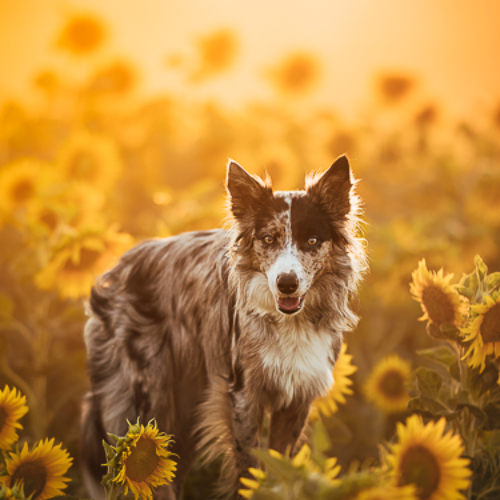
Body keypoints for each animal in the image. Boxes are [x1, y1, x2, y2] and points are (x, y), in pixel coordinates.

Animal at [80, 154, 366, 498]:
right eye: (268, 239)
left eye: (311, 240)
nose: (286, 284)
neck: (289, 322)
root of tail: (115, 270)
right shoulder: (243, 395)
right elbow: (248, 468)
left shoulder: (297, 398)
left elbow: (280, 470)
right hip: (146, 402)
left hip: (186, 409)